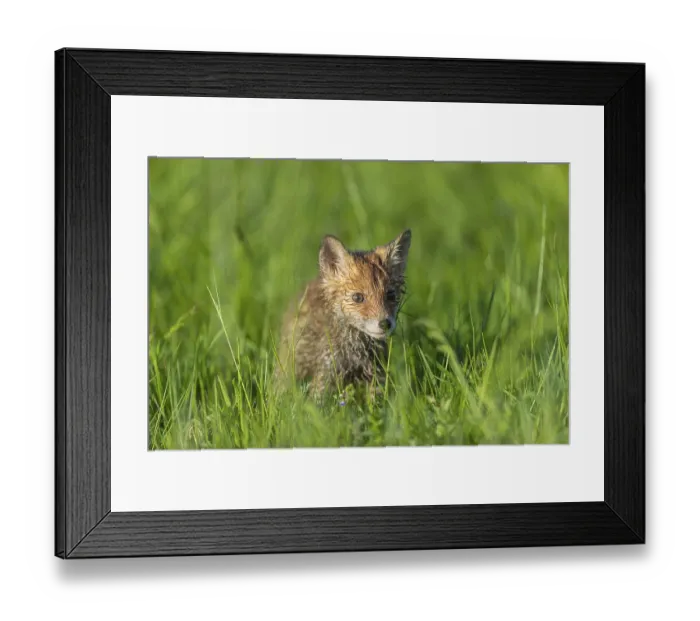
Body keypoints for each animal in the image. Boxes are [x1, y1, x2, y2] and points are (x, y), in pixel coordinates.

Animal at [275, 229, 412, 398]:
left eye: (391, 295)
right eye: (358, 298)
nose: (385, 323)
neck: (355, 351)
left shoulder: (375, 375)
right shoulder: (325, 375)